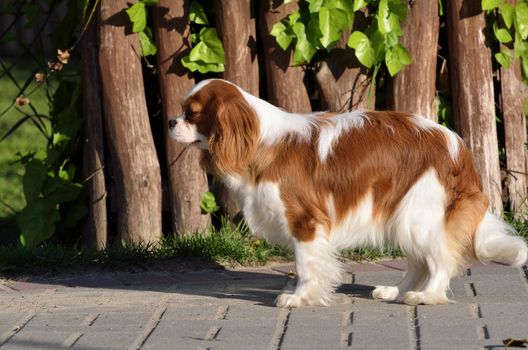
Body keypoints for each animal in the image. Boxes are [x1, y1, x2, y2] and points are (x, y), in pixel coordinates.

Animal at [169, 78, 528, 306]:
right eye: (182, 111)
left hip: (419, 214)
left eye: (192, 113)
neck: (260, 140)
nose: (171, 121)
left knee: (440, 260)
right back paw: (396, 291)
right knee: (418, 262)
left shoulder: (305, 220)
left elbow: (305, 264)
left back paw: (426, 295)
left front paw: (299, 297)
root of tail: (459, 147)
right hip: (403, 213)